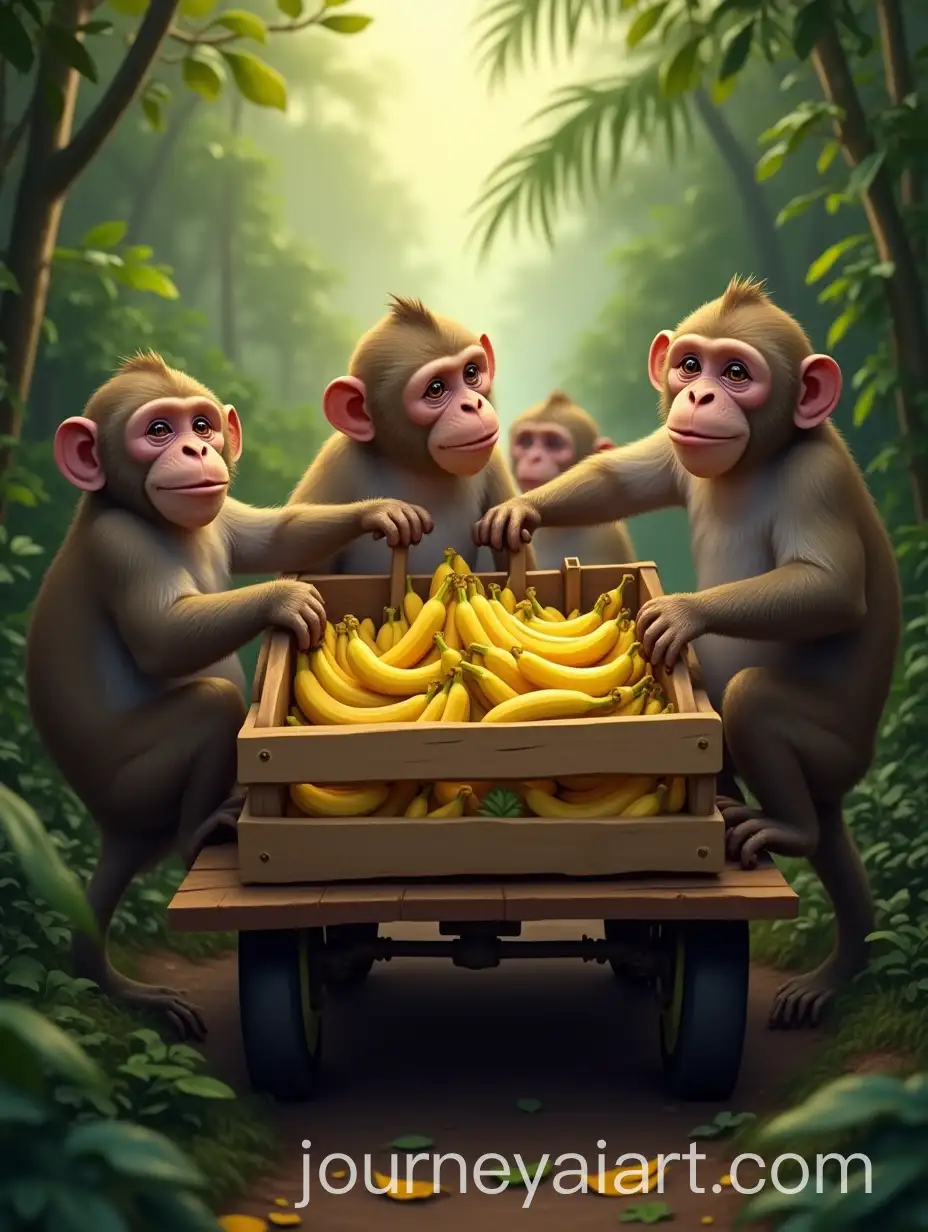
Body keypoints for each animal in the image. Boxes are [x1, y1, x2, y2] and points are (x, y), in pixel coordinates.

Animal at [26, 351, 432, 1039]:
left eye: (201, 424)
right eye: (157, 430)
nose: (194, 449)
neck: (152, 517)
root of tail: (111, 826)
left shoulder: (220, 517)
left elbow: (275, 536)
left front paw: (382, 512)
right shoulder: (119, 545)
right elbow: (161, 638)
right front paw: (286, 598)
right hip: (133, 787)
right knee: (211, 704)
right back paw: (199, 832)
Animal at [288, 295, 534, 575]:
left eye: (471, 373)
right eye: (436, 388)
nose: (473, 405)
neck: (416, 468)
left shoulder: (493, 462)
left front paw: (510, 515)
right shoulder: (336, 460)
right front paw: (384, 511)